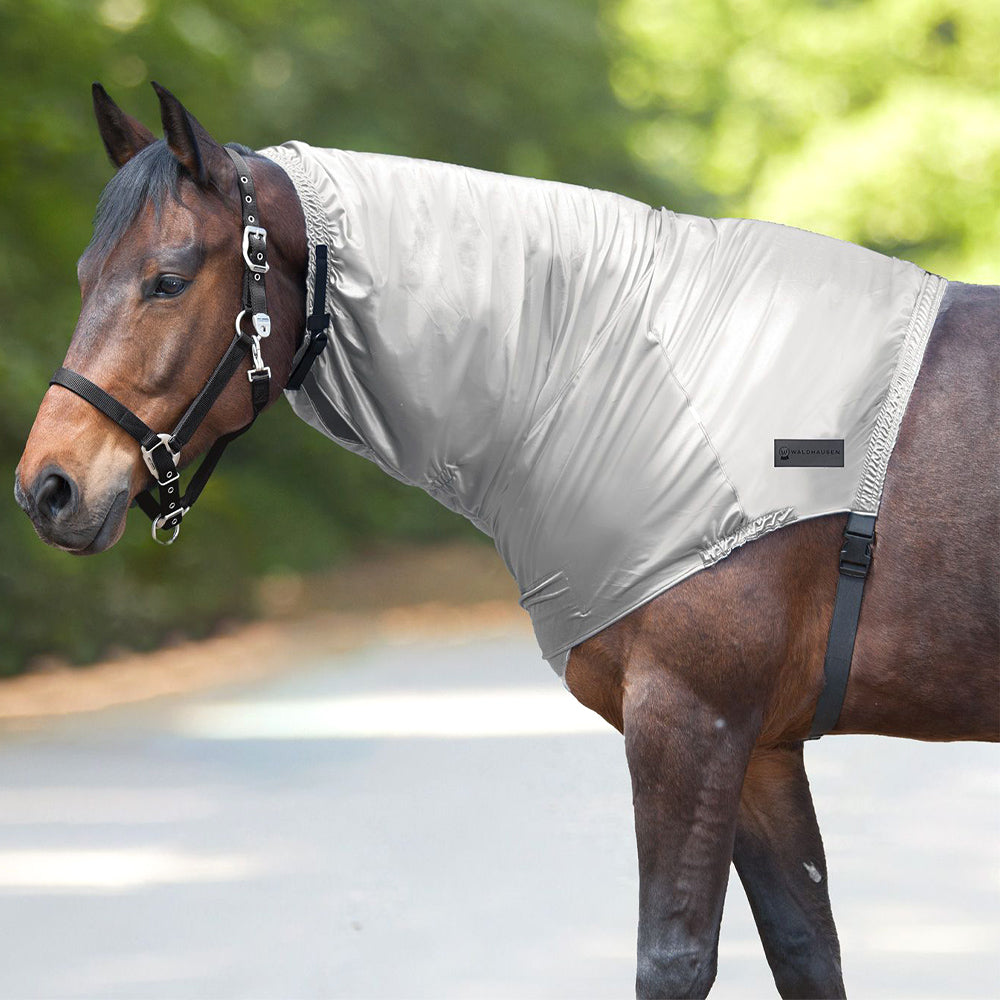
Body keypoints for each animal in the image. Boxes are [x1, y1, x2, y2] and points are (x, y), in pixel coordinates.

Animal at [14, 83, 999, 999]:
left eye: (169, 278)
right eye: (84, 273)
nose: (48, 488)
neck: (632, 367)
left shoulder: (692, 723)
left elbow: (673, 960)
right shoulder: (761, 748)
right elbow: (806, 950)